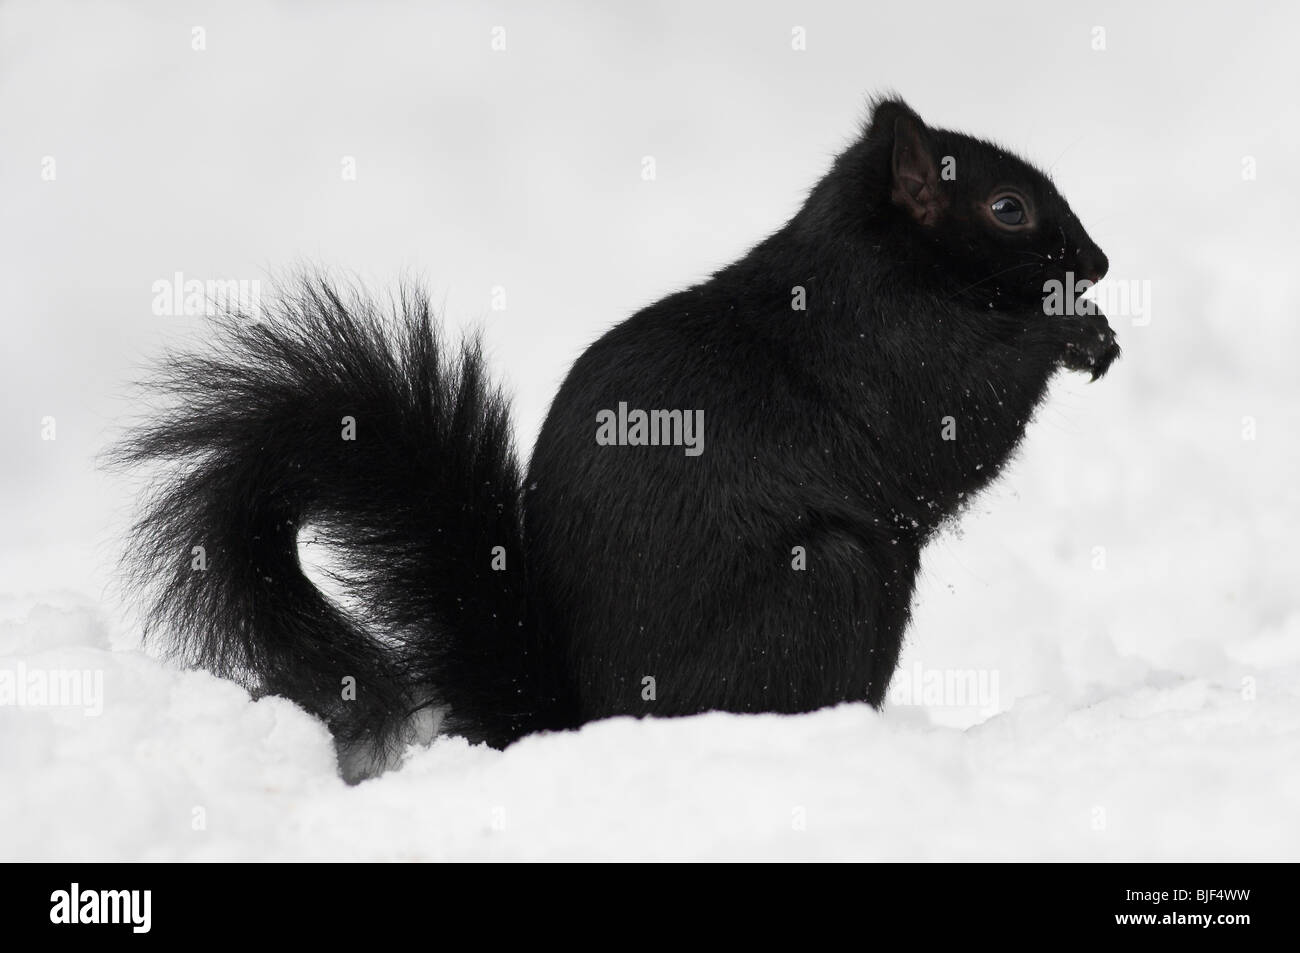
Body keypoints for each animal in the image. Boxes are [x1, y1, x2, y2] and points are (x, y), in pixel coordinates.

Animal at [116, 96, 1123, 774]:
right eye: (1007, 208)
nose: (1102, 261)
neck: (871, 258)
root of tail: (578, 722)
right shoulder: (882, 355)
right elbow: (956, 415)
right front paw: (1070, 328)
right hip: (826, 583)